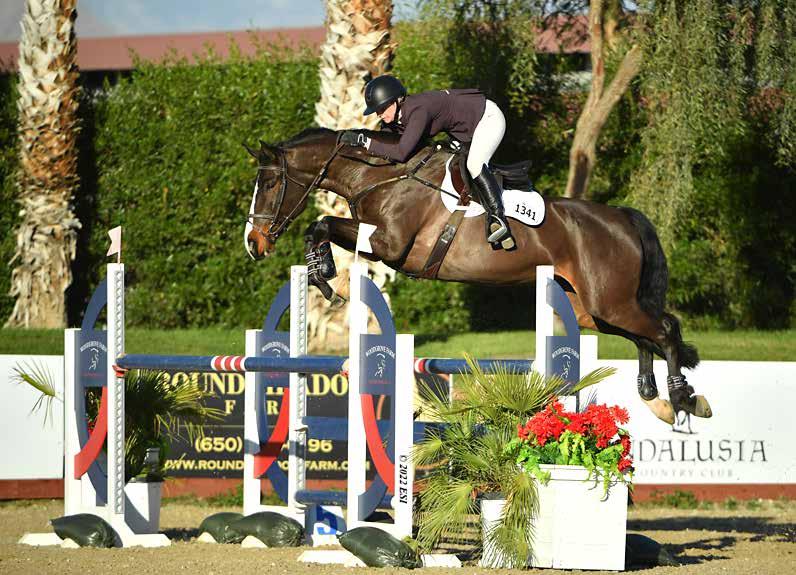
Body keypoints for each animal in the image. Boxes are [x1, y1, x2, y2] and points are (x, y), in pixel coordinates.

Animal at [243, 127, 712, 425]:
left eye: (270, 185)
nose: (254, 243)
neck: (382, 174)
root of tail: (622, 217)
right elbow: (320, 226)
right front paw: (320, 273)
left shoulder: (391, 246)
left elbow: (321, 222)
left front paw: (323, 273)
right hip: (592, 311)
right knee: (645, 335)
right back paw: (655, 398)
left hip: (609, 302)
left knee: (664, 329)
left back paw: (681, 397)